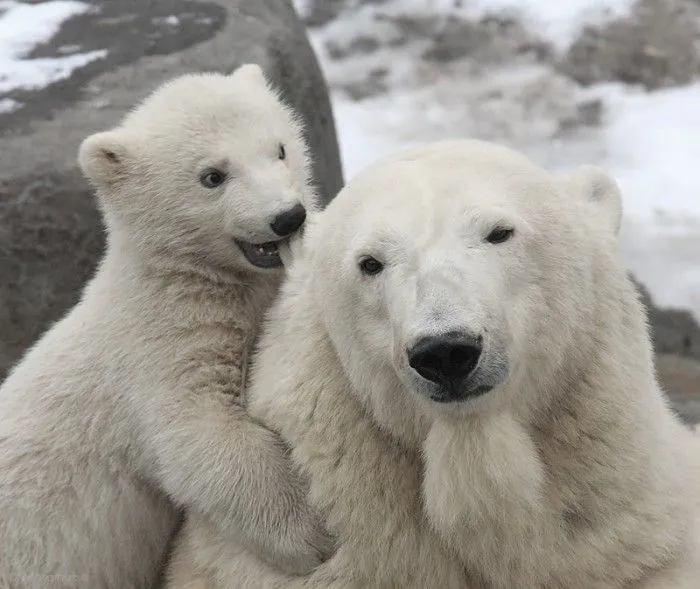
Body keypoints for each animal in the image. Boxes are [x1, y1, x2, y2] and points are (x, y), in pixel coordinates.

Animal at [0, 64, 332, 588]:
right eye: (212, 176)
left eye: (280, 148)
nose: (287, 216)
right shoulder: (157, 345)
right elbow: (195, 431)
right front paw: (309, 534)